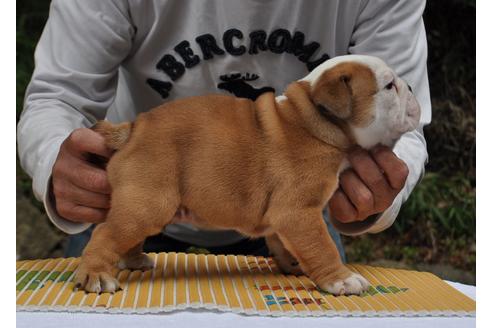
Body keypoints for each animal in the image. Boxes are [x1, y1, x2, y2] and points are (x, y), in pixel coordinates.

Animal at [73, 55, 418, 296]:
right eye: (389, 86)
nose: (412, 86)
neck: (313, 120)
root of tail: (133, 129)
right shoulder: (299, 212)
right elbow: (321, 246)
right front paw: (341, 280)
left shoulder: (284, 216)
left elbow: (283, 240)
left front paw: (293, 263)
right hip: (148, 202)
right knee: (105, 233)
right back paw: (96, 276)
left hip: (145, 203)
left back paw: (134, 261)